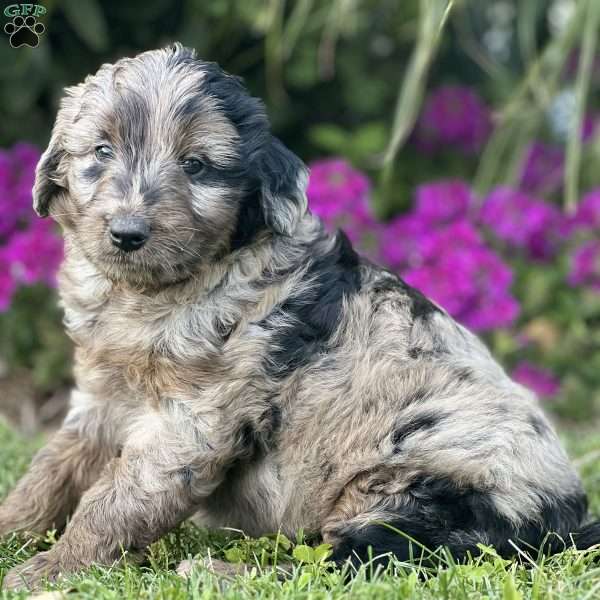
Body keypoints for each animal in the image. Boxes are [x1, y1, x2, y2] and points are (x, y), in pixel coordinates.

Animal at [1, 44, 600, 588]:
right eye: (101, 151)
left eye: (195, 165)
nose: (127, 233)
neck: (156, 292)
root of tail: (567, 523)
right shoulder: (101, 396)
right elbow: (54, 467)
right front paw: (14, 527)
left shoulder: (194, 419)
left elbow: (120, 498)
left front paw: (53, 568)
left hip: (425, 495)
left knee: (349, 567)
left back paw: (220, 572)